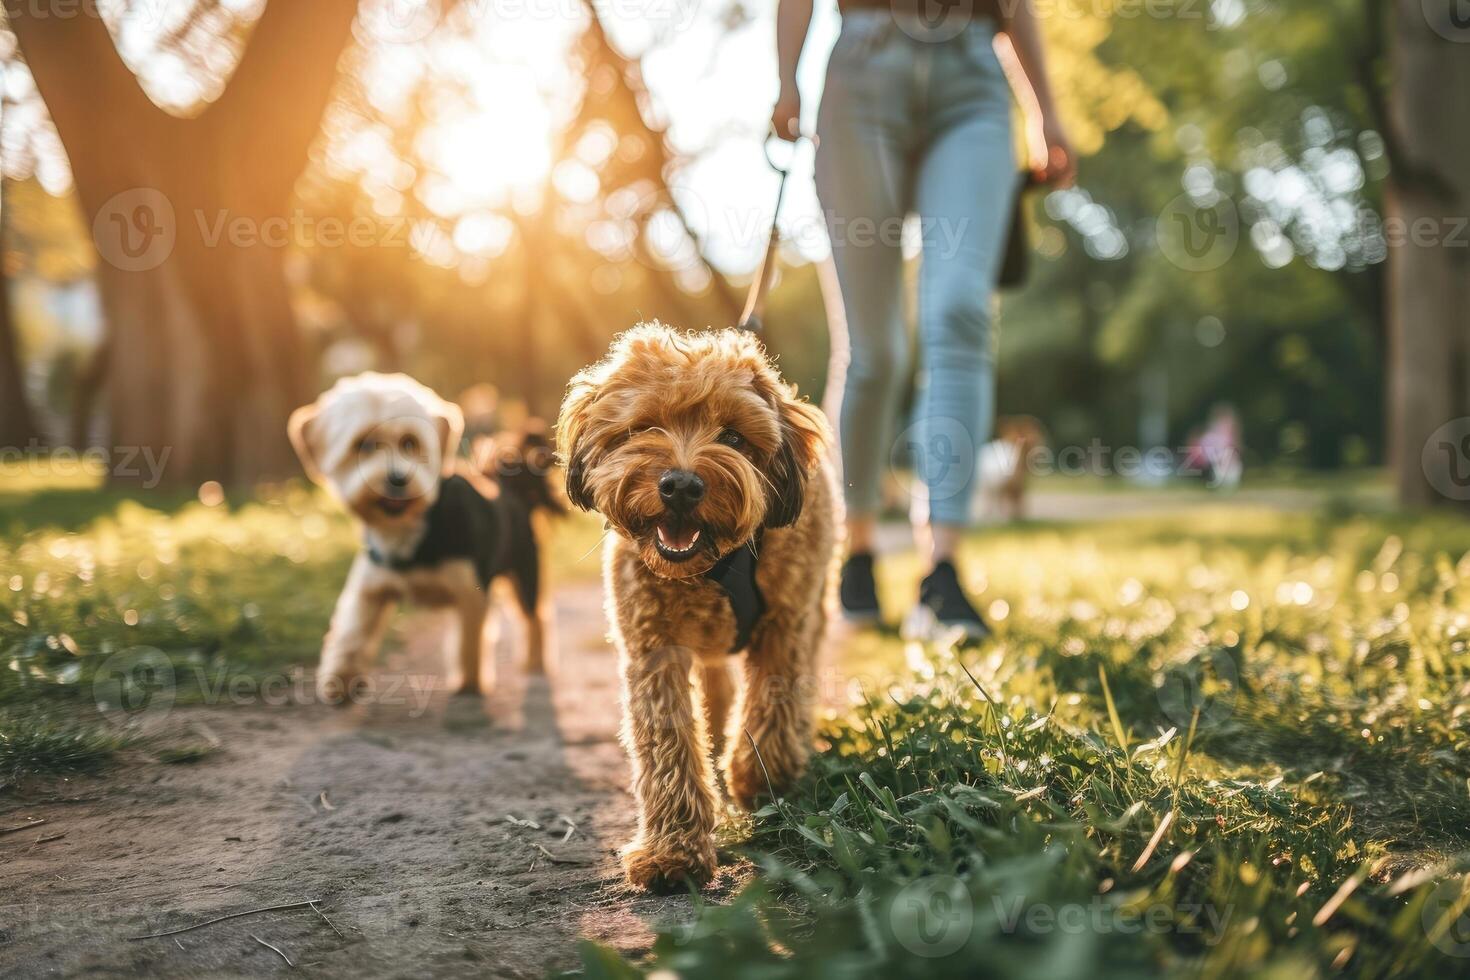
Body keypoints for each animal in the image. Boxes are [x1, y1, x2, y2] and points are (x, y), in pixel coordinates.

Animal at [289, 371, 552, 702]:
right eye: (363, 444)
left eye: (409, 443)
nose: (397, 479)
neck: (409, 530)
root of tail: (513, 489)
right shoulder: (370, 586)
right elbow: (352, 631)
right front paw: (340, 678)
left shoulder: (471, 591)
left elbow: (469, 642)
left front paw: (469, 681)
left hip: (524, 572)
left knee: (535, 617)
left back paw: (536, 661)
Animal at [558, 326, 840, 893]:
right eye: (646, 426)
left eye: (732, 436)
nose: (681, 485)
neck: (711, 567)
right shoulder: (653, 647)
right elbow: (666, 743)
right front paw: (673, 852)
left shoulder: (784, 624)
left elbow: (772, 700)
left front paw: (759, 776)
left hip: (816, 604)